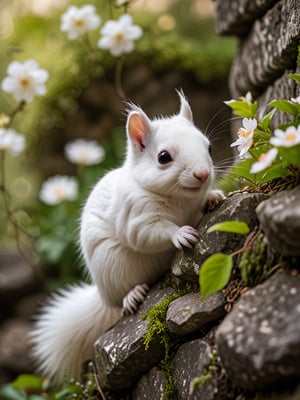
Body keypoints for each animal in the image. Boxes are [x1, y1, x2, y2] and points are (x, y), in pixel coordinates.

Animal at [31, 90, 223, 384]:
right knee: (121, 298)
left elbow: (203, 202)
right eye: (163, 157)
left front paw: (213, 196)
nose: (203, 174)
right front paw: (180, 234)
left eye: (209, 147)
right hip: (115, 268)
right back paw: (132, 295)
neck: (179, 200)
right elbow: (150, 234)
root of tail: (102, 294)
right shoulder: (136, 217)